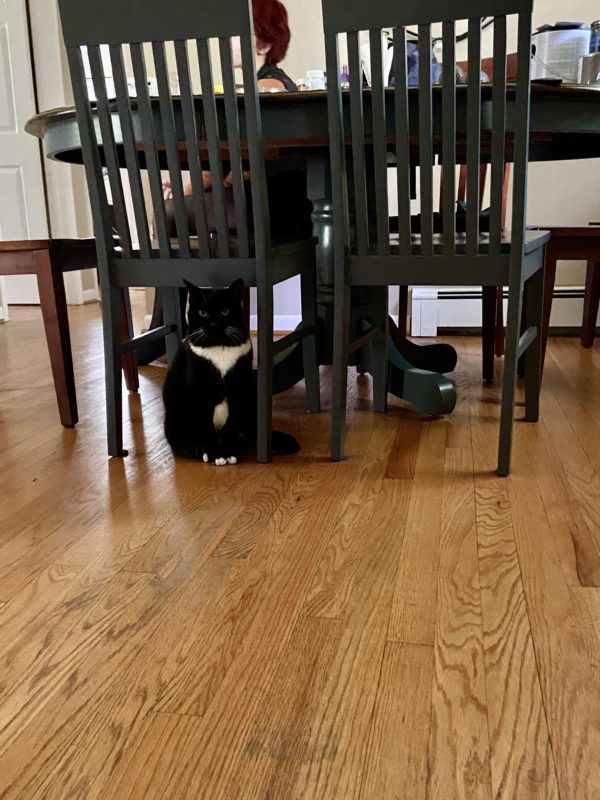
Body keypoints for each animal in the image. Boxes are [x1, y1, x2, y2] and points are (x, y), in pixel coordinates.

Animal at [163, 280, 298, 466]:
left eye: (224, 311)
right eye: (203, 313)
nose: (213, 324)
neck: (219, 347)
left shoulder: (238, 391)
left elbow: (231, 426)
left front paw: (230, 453)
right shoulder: (198, 393)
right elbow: (206, 429)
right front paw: (216, 455)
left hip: (250, 399)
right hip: (177, 419)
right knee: (182, 440)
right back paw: (200, 450)